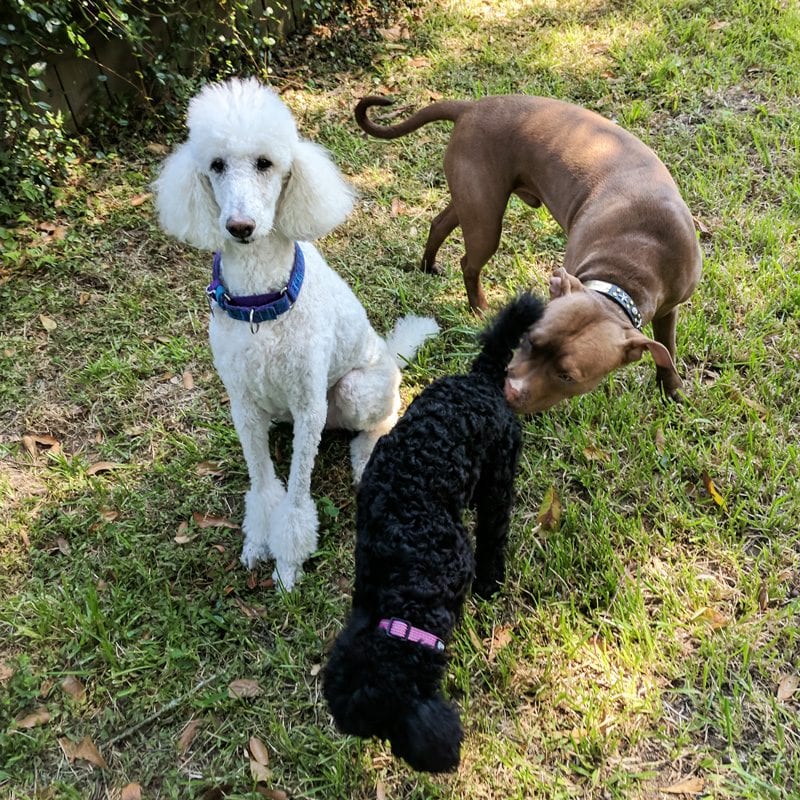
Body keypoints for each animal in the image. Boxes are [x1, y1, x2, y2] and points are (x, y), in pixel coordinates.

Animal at [356, 94, 700, 406]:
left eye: (567, 376)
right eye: (530, 341)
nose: (509, 391)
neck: (629, 265)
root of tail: (471, 106)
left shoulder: (669, 309)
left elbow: (667, 347)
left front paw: (672, 388)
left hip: (471, 205)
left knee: (438, 224)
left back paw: (428, 265)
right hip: (484, 218)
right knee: (469, 262)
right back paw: (479, 307)